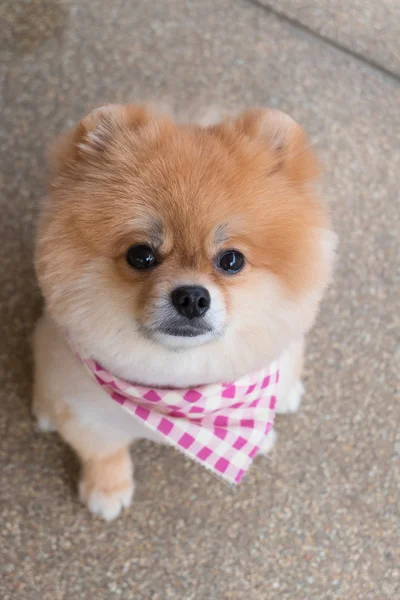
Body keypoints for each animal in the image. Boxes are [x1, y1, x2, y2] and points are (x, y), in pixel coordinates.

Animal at [32, 104, 336, 520]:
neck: (180, 384)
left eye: (231, 260)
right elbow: (103, 452)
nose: (191, 297)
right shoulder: (87, 413)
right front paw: (107, 488)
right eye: (140, 256)